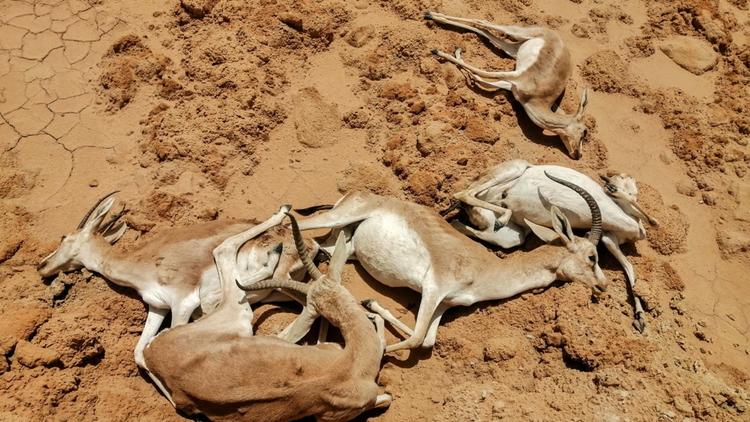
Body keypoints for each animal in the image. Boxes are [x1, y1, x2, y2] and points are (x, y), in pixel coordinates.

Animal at [36, 192, 317, 405]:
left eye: (64, 238)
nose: (41, 266)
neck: (141, 262)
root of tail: (312, 244)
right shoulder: (157, 307)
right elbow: (140, 352)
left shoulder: (183, 303)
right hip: (279, 292)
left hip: (282, 282)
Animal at [292, 173, 607, 353]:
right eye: (592, 257)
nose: (603, 286)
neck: (488, 269)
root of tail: (358, 193)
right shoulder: (433, 287)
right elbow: (416, 339)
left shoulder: (446, 304)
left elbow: (427, 339)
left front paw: (370, 305)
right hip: (335, 218)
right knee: (292, 220)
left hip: (343, 244)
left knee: (320, 248)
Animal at [425, 11, 589, 159]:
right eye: (584, 132)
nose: (578, 155)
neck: (538, 100)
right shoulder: (514, 76)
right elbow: (484, 73)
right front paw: (439, 52)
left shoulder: (510, 85)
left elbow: (480, 78)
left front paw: (457, 54)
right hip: (517, 34)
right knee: (482, 22)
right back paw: (431, 16)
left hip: (512, 49)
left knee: (485, 31)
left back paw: (434, 18)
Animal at [447, 159, 659, 332]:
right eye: (592, 257)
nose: (603, 286)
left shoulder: (609, 237)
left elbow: (629, 266)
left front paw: (640, 319)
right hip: (515, 168)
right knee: (463, 193)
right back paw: (501, 212)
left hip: (513, 236)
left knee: (467, 219)